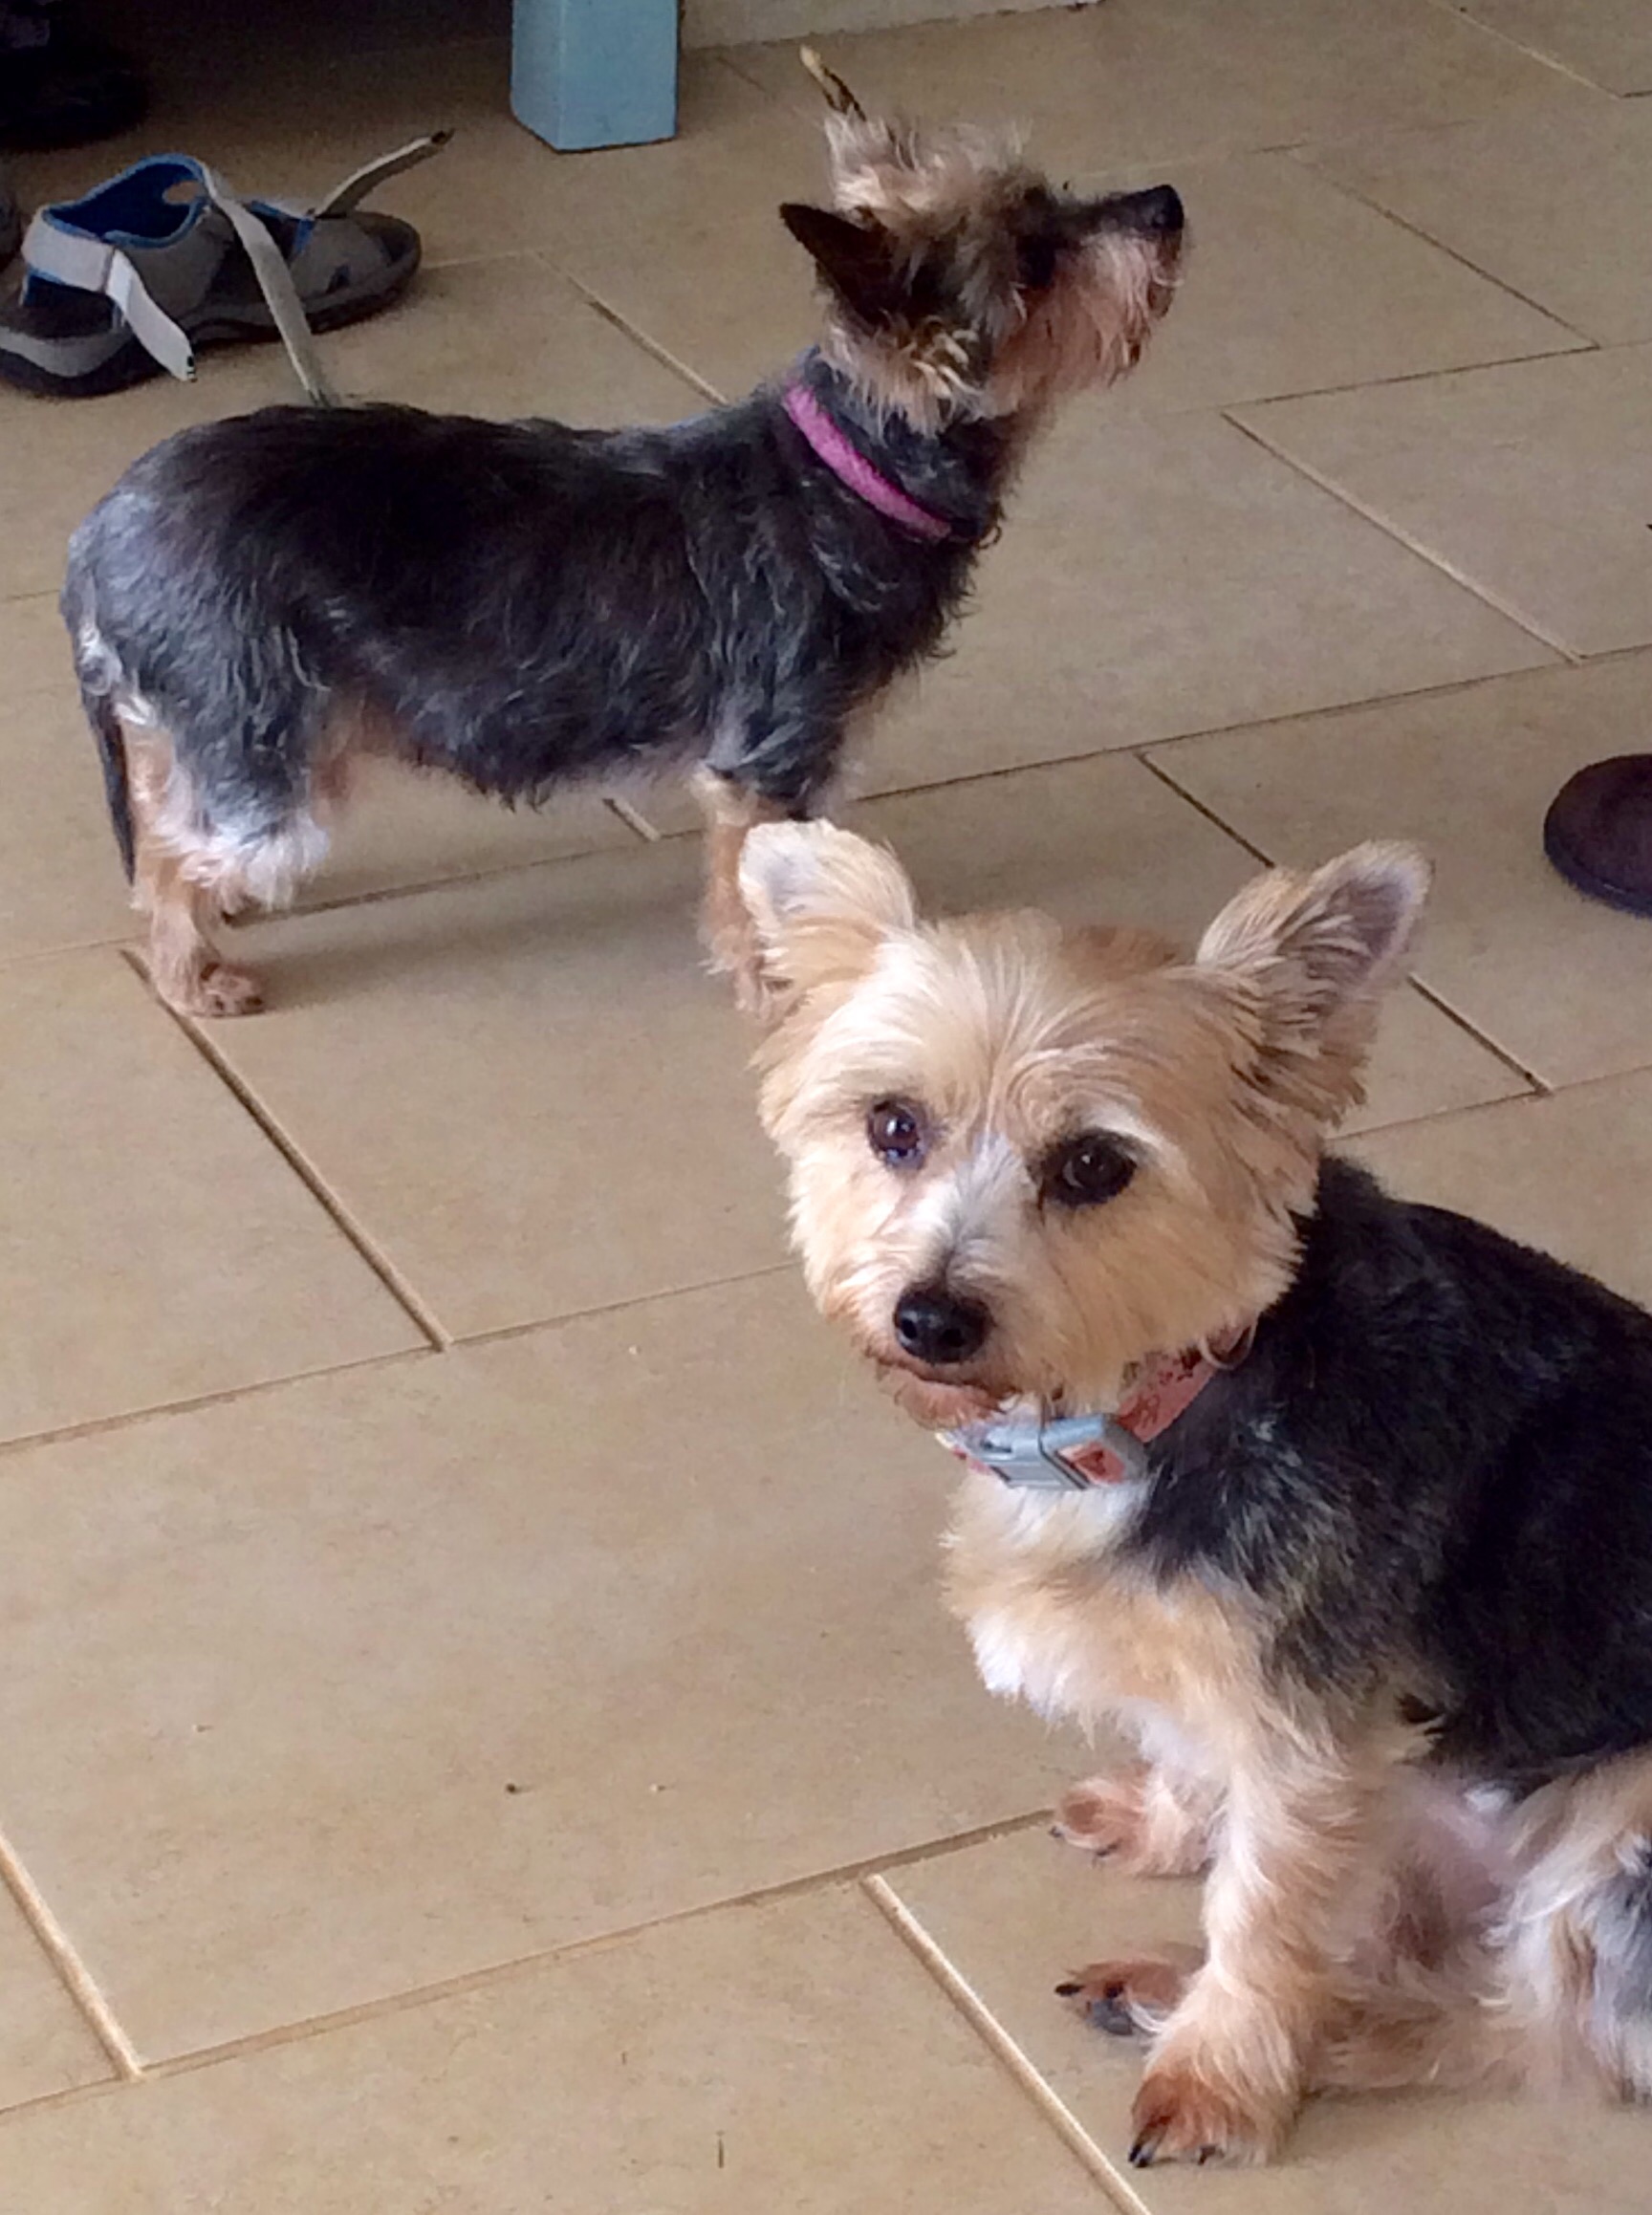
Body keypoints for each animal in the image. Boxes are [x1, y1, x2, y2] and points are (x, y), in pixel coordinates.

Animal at [60, 52, 1183, 1019]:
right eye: (1038, 262)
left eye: (1051, 195)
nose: (1168, 203)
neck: (850, 474)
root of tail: (98, 539)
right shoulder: (768, 756)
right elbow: (749, 883)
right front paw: (780, 991)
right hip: (266, 736)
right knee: (169, 855)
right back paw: (193, 971)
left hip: (193, 719)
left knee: (167, 803)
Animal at [738, 816, 1652, 2167]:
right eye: (894, 1126)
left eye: (1094, 1165)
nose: (931, 1317)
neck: (1151, 1402)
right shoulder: (1224, 1682)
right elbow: (1187, 1748)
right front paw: (1168, 1824)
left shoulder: (1309, 1739)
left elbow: (1266, 1915)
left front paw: (1221, 2078)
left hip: (1620, 1817)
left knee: (1541, 2029)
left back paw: (1310, 2030)